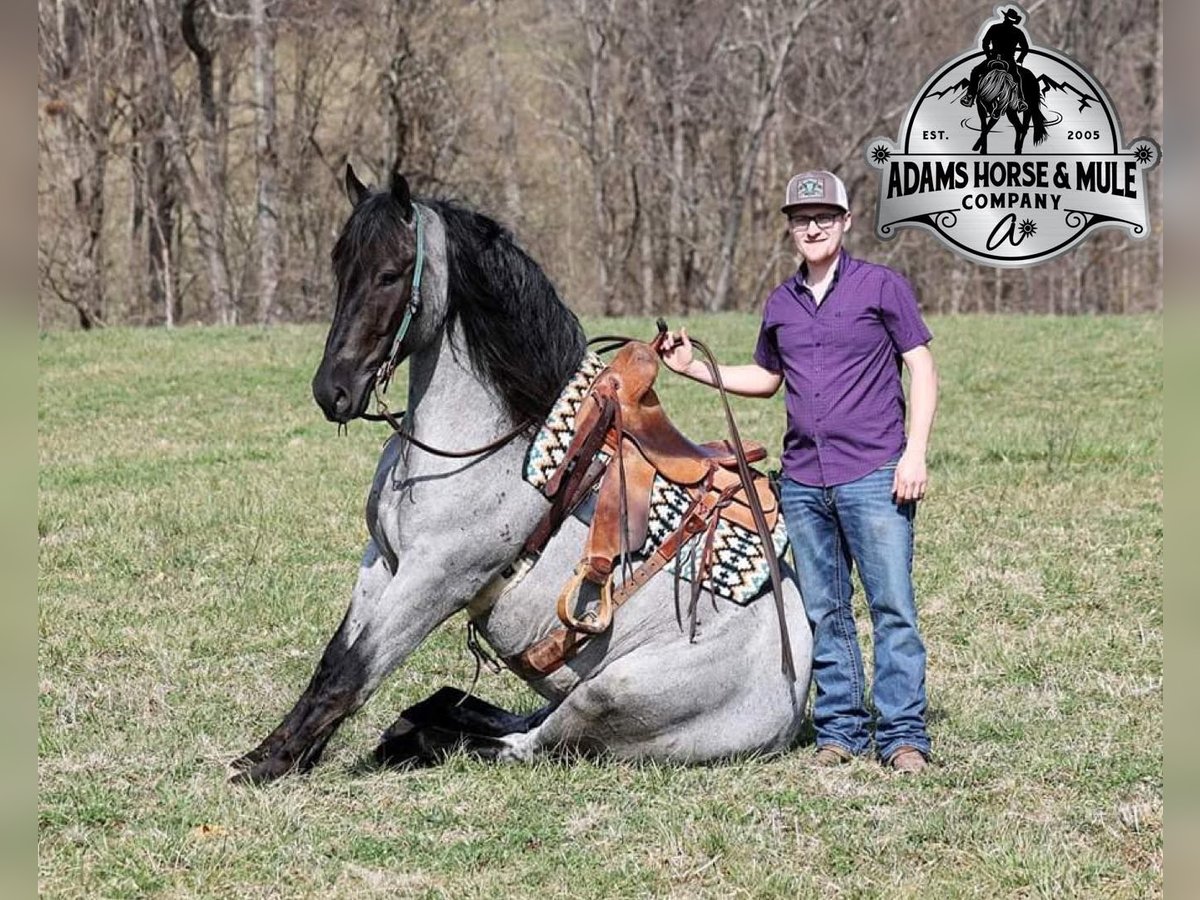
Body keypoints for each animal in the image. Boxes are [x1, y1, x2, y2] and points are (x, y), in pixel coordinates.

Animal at [229, 165, 811, 787]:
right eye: (341, 268)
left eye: (389, 274)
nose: (331, 391)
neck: (487, 439)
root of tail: (793, 699)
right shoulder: (383, 561)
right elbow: (334, 661)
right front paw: (276, 752)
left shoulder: (435, 580)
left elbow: (352, 672)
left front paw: (273, 764)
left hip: (605, 696)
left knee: (526, 744)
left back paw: (421, 737)